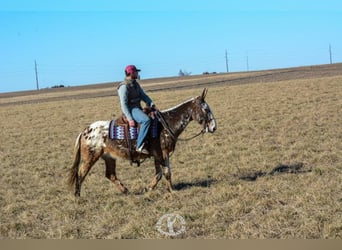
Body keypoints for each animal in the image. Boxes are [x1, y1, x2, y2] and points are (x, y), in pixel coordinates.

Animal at [67, 89, 216, 196]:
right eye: (206, 109)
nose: (214, 127)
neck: (166, 123)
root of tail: (84, 131)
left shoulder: (160, 155)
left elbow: (160, 173)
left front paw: (149, 188)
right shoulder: (162, 153)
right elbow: (166, 172)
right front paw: (172, 191)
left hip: (109, 158)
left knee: (110, 175)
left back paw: (126, 191)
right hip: (90, 157)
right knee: (80, 174)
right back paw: (77, 195)